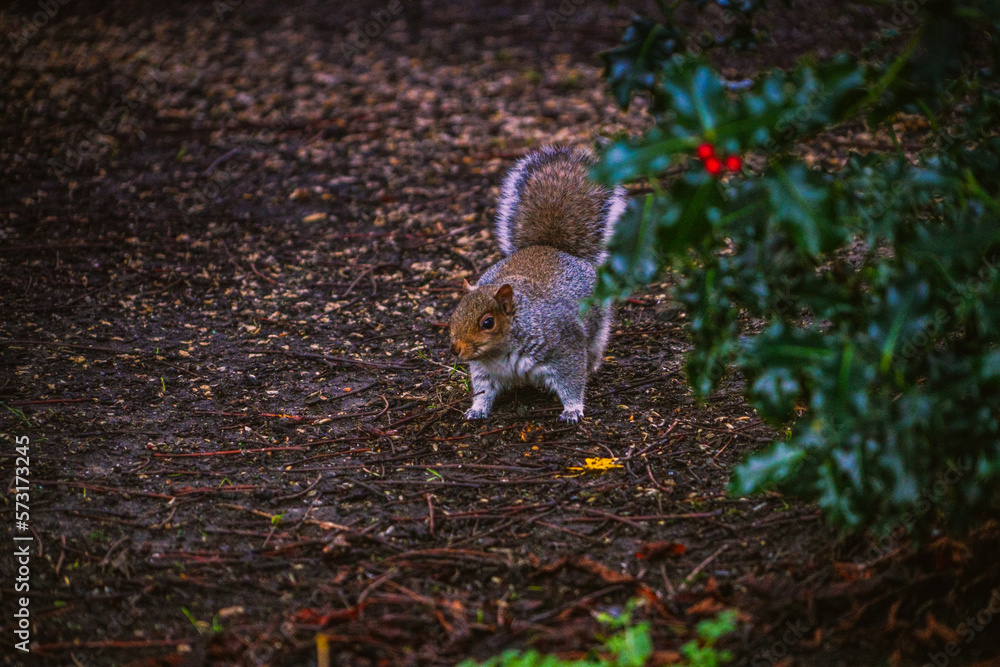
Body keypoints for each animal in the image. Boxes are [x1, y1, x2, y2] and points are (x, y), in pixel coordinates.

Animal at [449, 146, 627, 423]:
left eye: (487, 323)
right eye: (455, 313)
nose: (455, 349)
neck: (501, 351)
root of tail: (550, 247)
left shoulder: (565, 348)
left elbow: (571, 382)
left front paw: (573, 409)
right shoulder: (484, 370)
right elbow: (483, 389)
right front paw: (477, 409)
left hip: (598, 327)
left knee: (594, 348)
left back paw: (593, 366)